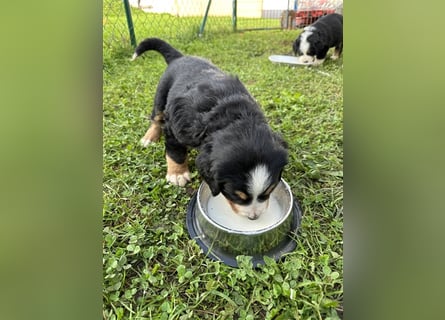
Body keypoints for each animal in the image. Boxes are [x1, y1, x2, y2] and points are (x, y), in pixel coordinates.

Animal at [131, 38, 288, 220]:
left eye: (270, 191)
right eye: (236, 195)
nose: (253, 217)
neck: (233, 118)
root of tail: (181, 57)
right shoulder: (174, 127)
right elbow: (175, 151)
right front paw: (177, 174)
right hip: (161, 95)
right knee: (156, 118)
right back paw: (149, 138)